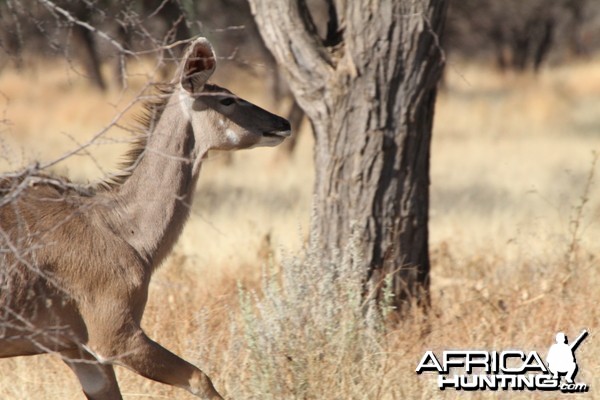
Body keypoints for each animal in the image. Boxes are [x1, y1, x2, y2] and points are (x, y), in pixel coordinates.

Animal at [0, 36, 290, 398]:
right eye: (227, 100)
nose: (283, 123)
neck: (124, 229)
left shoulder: (80, 353)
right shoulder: (114, 338)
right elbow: (201, 378)